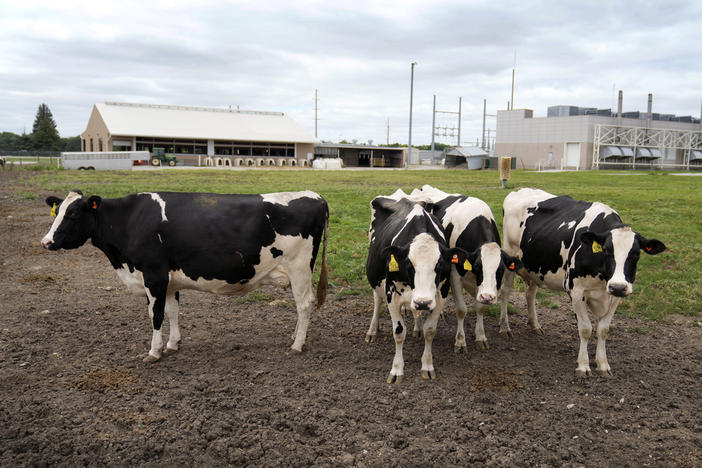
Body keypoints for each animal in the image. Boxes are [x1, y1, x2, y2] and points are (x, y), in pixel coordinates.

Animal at [41, 190, 330, 362]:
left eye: (73, 213)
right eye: (58, 211)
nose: (46, 241)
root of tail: (315, 195)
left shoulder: (154, 275)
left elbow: (155, 314)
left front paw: (154, 351)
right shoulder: (169, 280)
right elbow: (173, 311)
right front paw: (172, 344)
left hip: (299, 267)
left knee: (305, 304)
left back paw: (297, 345)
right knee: (300, 305)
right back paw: (295, 336)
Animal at [364, 191, 468, 384]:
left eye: (439, 265)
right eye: (409, 265)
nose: (423, 302)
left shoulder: (440, 295)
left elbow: (430, 330)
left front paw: (427, 365)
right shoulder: (391, 294)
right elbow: (398, 332)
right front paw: (397, 370)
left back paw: (417, 326)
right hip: (377, 281)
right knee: (377, 300)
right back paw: (372, 330)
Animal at [410, 185, 520, 352]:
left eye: (500, 270)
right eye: (478, 266)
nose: (489, 297)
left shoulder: (481, 287)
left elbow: (480, 308)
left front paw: (480, 336)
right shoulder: (454, 274)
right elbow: (461, 310)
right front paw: (460, 341)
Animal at [500, 188, 664, 374]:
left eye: (636, 254)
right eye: (606, 251)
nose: (618, 287)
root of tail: (519, 190)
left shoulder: (615, 296)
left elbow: (603, 330)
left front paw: (603, 364)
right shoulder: (576, 291)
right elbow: (585, 329)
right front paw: (583, 365)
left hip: (535, 267)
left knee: (530, 294)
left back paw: (535, 324)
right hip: (510, 257)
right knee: (505, 292)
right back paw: (505, 327)